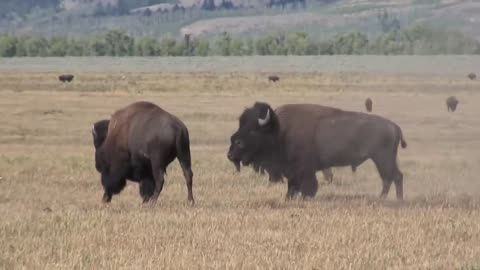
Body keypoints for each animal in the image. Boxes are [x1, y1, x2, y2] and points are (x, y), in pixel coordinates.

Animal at [227, 102, 406, 201]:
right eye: (240, 124)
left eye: (252, 130)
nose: (230, 154)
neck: (279, 131)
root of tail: (395, 127)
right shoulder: (292, 172)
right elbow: (293, 186)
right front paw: (289, 198)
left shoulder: (303, 170)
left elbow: (307, 185)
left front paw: (304, 198)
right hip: (383, 160)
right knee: (390, 178)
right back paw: (385, 199)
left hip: (382, 159)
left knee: (393, 177)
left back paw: (394, 200)